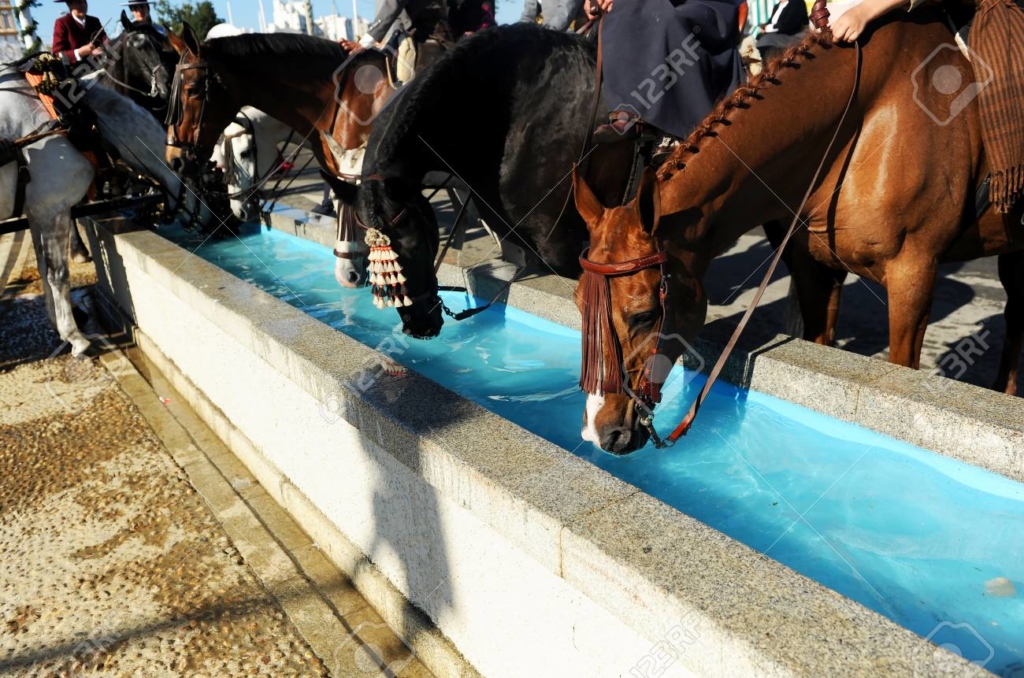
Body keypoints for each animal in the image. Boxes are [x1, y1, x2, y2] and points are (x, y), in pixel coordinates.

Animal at [573, 13, 1024, 454]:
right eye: (579, 304)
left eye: (644, 314)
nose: (600, 432)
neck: (871, 122)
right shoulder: (814, 268)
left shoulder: (913, 275)